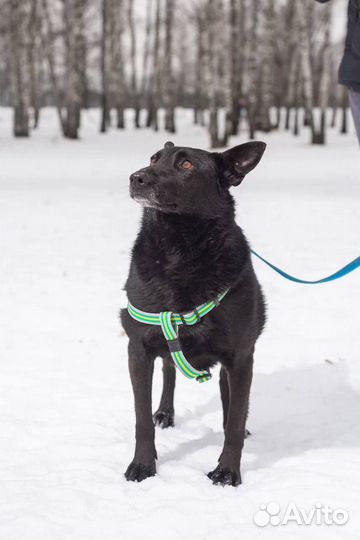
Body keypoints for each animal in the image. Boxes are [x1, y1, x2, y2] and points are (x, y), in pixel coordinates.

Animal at [122, 139, 266, 486]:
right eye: (153, 159)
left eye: (186, 165)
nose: (136, 177)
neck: (179, 249)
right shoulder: (139, 349)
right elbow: (141, 419)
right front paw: (142, 466)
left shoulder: (241, 355)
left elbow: (234, 423)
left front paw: (227, 473)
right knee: (169, 370)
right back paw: (164, 413)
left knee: (229, 399)